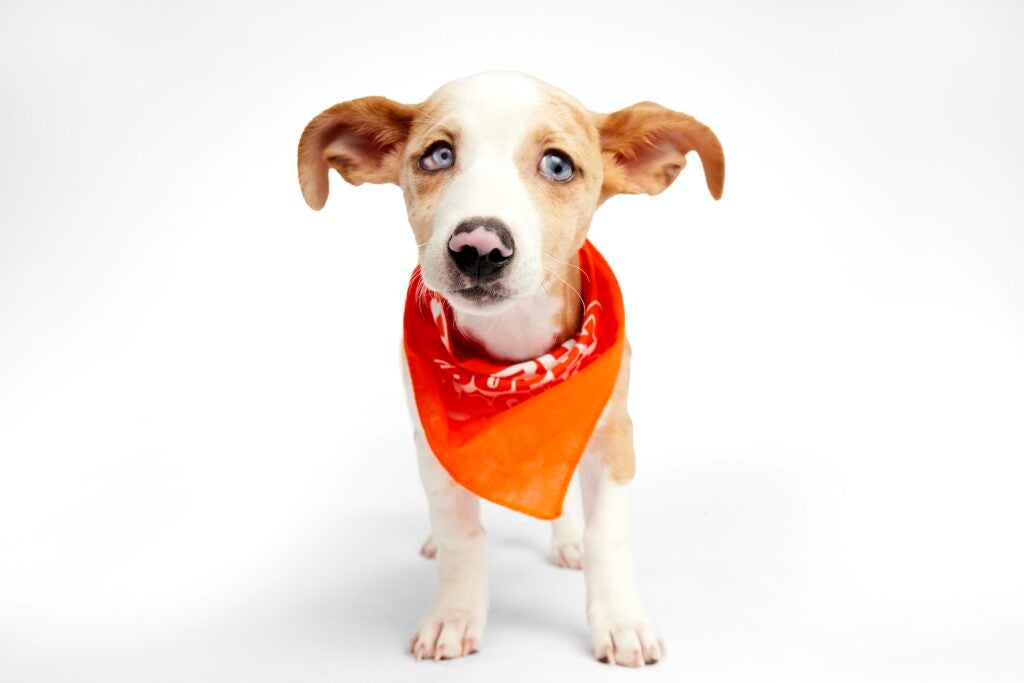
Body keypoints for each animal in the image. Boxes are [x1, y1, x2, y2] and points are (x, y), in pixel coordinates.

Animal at [299, 72, 724, 663]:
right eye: (438, 155)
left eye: (558, 165)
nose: (478, 247)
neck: (512, 354)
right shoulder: (432, 441)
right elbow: (460, 532)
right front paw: (454, 615)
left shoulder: (614, 434)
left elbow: (608, 534)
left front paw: (620, 622)